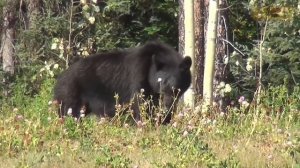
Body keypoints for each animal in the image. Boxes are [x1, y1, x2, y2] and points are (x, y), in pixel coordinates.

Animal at [52, 40, 191, 123]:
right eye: (162, 82)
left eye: (176, 86)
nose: (167, 103)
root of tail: (60, 78)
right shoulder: (138, 77)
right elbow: (140, 105)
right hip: (71, 92)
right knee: (68, 112)